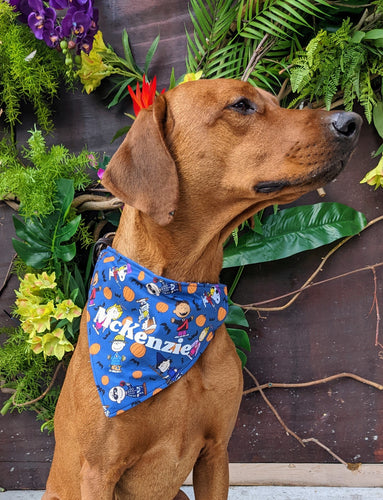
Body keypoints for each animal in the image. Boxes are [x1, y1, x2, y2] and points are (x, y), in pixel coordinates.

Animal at [43, 80, 362, 498]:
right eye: (241, 105)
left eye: (274, 102)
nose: (352, 121)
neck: (175, 290)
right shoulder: (99, 471)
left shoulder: (216, 452)